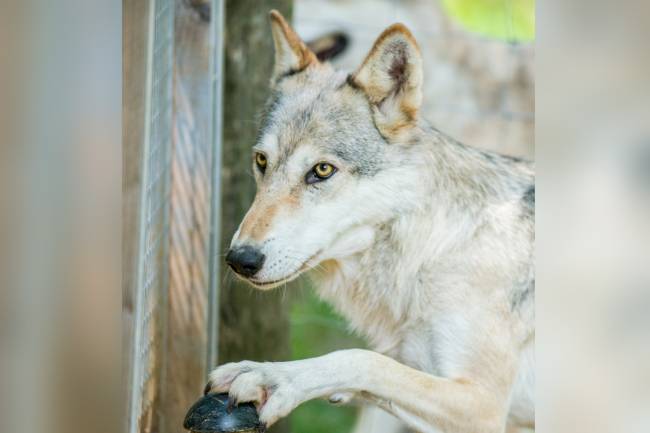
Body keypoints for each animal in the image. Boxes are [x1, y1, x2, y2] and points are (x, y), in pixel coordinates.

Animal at [205, 10, 536, 432]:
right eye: (262, 161)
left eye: (322, 170)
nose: (240, 260)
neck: (431, 252)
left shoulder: (483, 404)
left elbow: (361, 358)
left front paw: (272, 377)